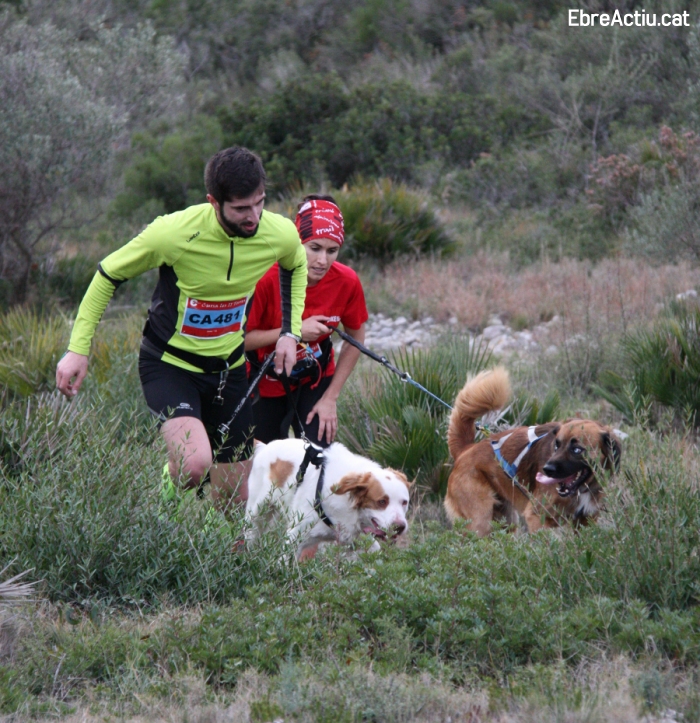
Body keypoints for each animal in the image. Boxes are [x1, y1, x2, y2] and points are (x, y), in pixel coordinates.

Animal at [245, 438, 410, 564]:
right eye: (382, 501)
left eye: (404, 502)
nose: (400, 527)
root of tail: (265, 446)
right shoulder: (294, 536)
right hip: (255, 514)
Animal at [446, 370, 620, 536]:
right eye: (556, 445)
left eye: (577, 449)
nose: (547, 470)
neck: (582, 489)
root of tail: (466, 450)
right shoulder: (536, 516)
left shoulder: (585, 521)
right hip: (480, 522)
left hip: (505, 522)